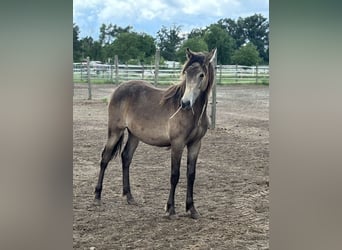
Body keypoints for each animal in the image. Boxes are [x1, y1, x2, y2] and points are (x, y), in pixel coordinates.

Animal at [93, 47, 216, 219]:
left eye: (201, 75)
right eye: (186, 73)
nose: (185, 103)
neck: (193, 114)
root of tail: (119, 88)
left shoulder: (195, 145)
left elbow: (191, 175)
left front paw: (192, 209)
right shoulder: (177, 144)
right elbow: (175, 175)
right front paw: (170, 209)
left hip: (134, 135)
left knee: (126, 158)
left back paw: (129, 196)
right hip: (115, 131)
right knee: (105, 158)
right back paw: (97, 196)